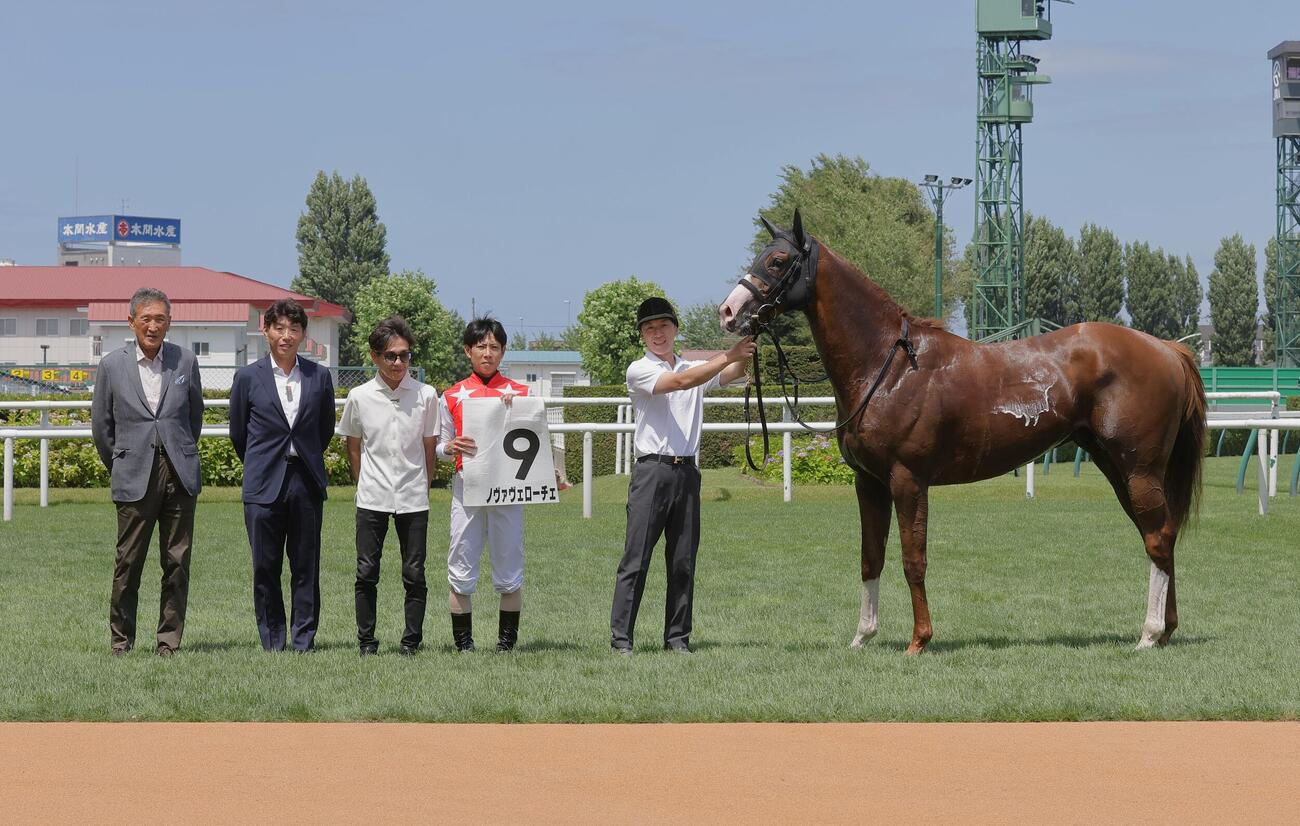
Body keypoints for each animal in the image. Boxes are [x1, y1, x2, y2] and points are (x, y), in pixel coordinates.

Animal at [719, 210, 1206, 654]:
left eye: (778, 260)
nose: (728, 312)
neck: (890, 365)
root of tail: (1168, 348)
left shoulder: (907, 481)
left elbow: (913, 559)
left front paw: (919, 641)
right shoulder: (869, 483)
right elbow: (870, 557)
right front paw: (862, 636)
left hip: (1138, 469)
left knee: (1158, 539)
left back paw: (1148, 634)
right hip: (1118, 468)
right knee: (1161, 537)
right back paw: (1165, 630)